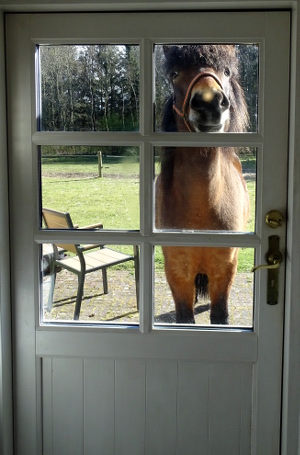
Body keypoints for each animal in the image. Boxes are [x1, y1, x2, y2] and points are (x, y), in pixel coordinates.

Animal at [156, 46, 250, 324]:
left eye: (226, 71)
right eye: (174, 74)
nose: (209, 103)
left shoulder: (224, 270)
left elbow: (220, 316)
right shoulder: (177, 273)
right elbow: (185, 318)